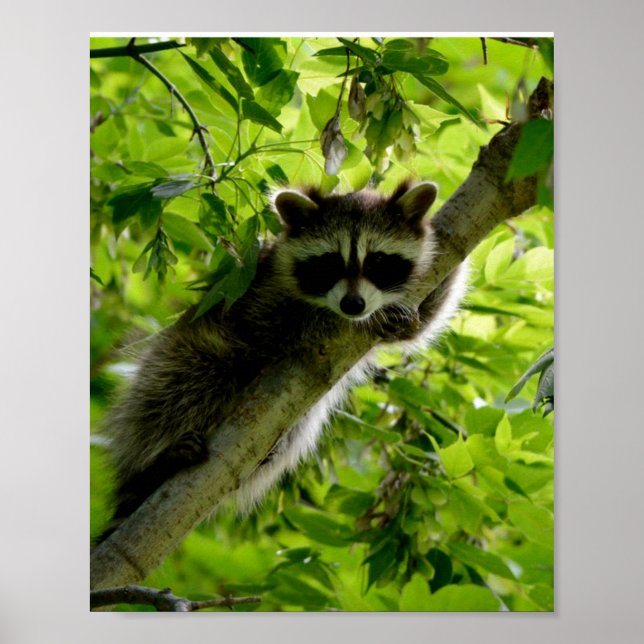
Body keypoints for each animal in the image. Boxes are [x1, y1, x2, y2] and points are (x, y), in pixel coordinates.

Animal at [98, 180, 467, 540]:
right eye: (329, 263)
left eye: (377, 261)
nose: (353, 305)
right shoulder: (259, 290)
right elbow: (277, 326)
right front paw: (334, 320)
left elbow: (424, 320)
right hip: (179, 355)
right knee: (185, 381)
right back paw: (154, 463)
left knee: (297, 425)